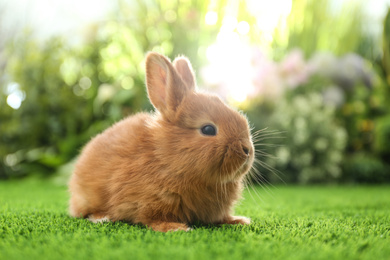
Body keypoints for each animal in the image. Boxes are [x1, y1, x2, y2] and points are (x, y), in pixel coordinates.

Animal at [68, 51, 254, 232]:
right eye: (208, 129)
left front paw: (238, 221)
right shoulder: (150, 202)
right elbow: (153, 219)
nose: (247, 150)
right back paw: (102, 218)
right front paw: (175, 228)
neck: (167, 159)